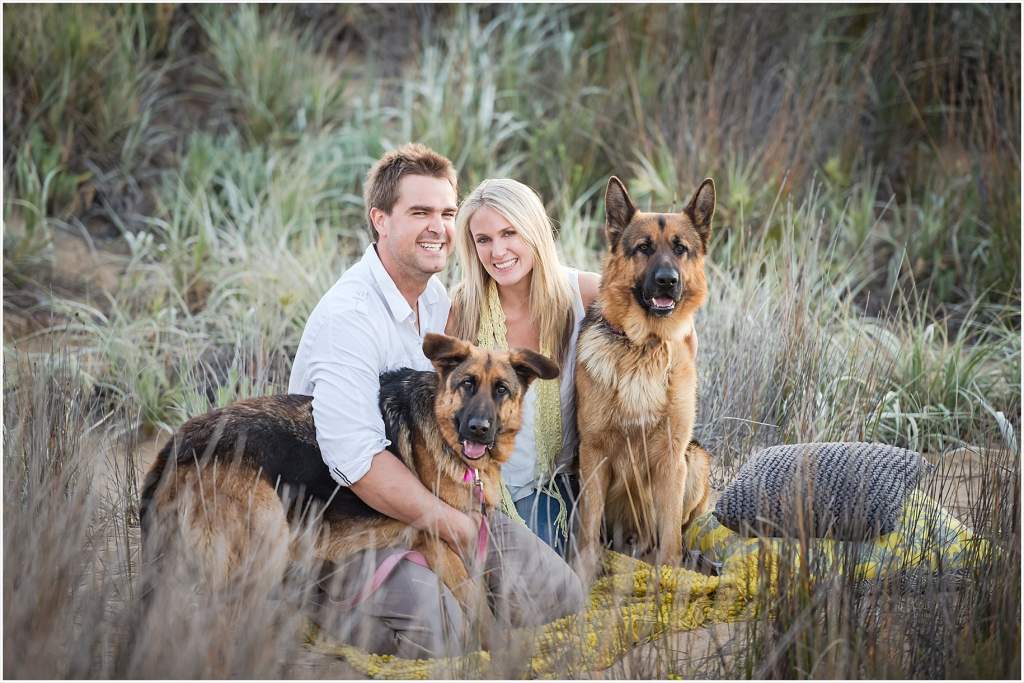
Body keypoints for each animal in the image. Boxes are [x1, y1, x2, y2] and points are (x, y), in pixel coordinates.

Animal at [139, 335, 557, 626]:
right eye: (467, 384)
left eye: (501, 389)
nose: (478, 429)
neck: (442, 429)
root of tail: (175, 449)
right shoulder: (440, 541)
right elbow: (477, 608)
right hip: (264, 546)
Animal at [573, 176, 716, 581]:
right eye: (644, 248)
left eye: (680, 249)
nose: (668, 281)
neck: (643, 346)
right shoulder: (594, 454)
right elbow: (588, 531)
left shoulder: (672, 457)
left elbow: (669, 540)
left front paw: (668, 578)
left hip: (696, 459)